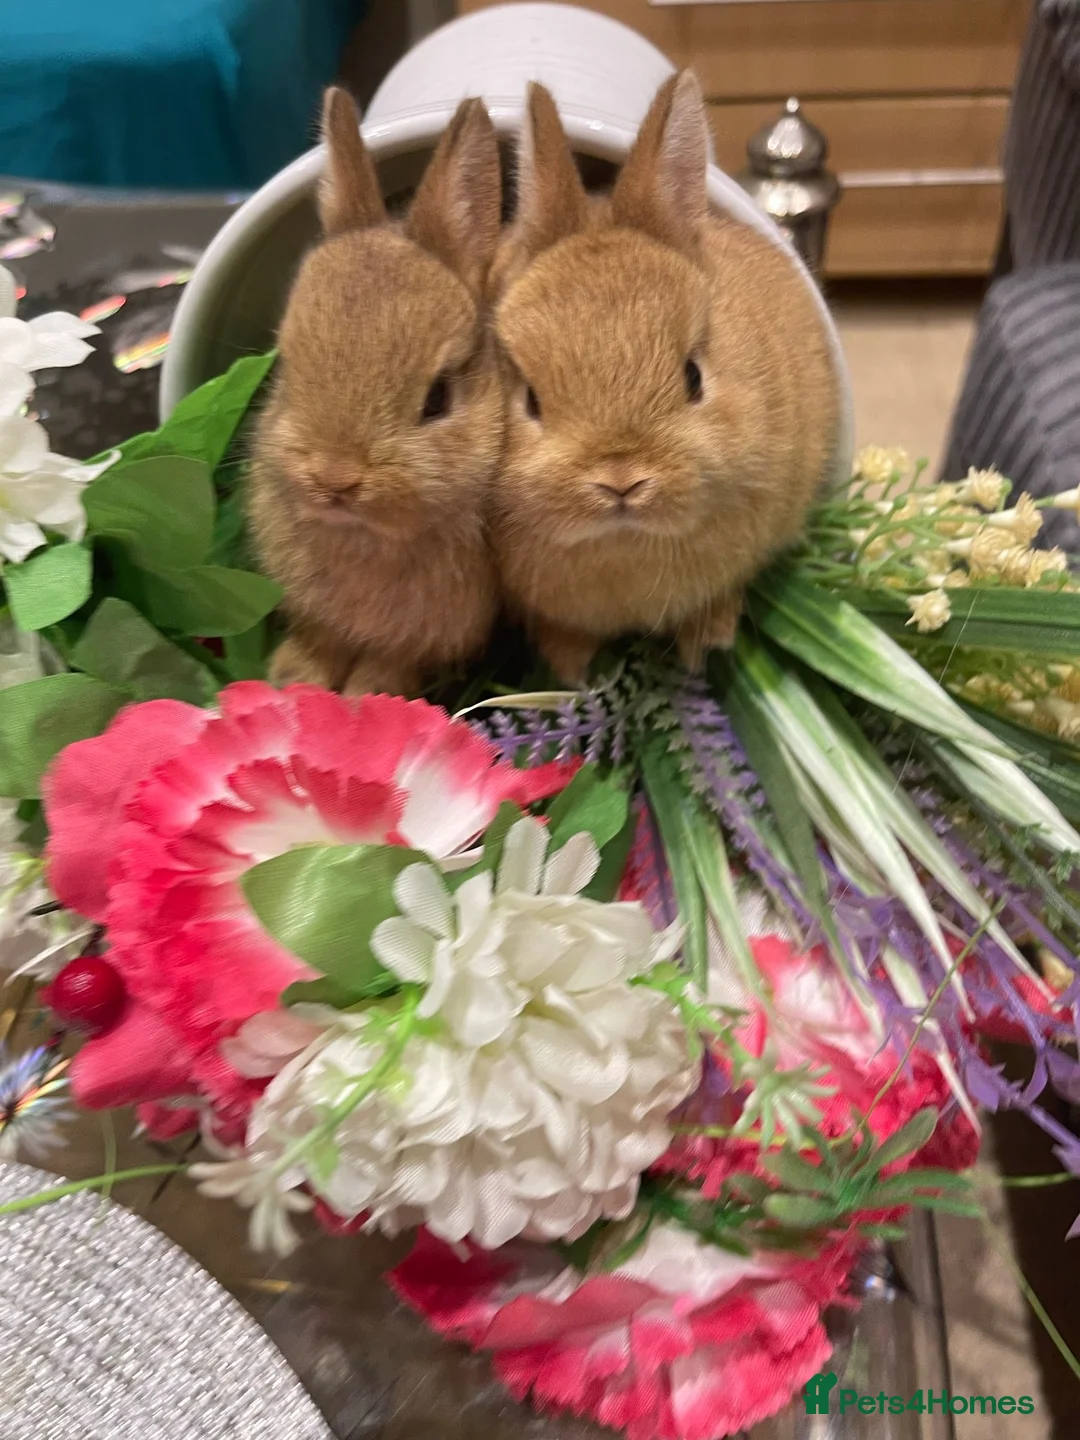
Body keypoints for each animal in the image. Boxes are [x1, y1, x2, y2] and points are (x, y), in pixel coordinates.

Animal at [248, 87, 504, 697]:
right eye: (286, 365)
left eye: (438, 398)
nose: (334, 478)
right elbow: (319, 642)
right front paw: (295, 679)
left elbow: (391, 665)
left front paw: (364, 697)